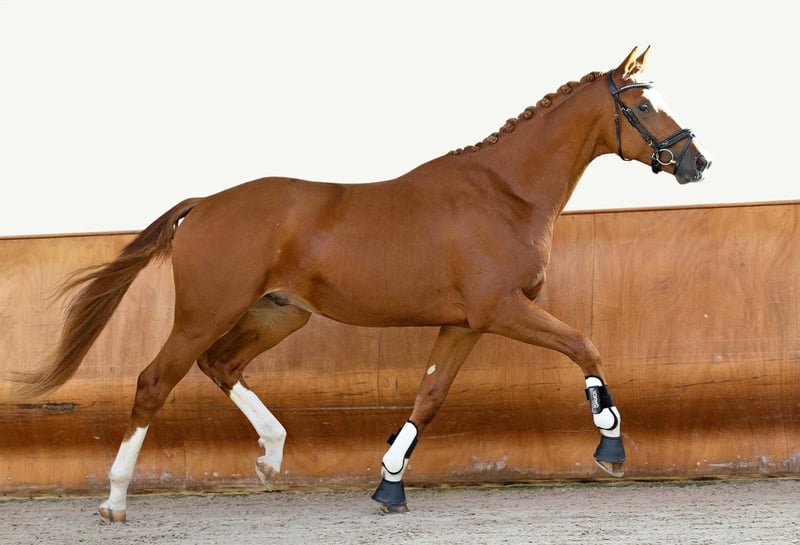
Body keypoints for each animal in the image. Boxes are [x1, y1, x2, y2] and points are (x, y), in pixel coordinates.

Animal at [10, 46, 711, 521]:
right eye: (643, 105)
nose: (695, 160)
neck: (504, 193)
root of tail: (205, 203)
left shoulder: (464, 323)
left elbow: (429, 398)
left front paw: (389, 484)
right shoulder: (500, 310)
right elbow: (585, 345)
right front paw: (610, 447)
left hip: (280, 312)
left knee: (221, 365)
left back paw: (271, 456)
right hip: (206, 312)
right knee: (156, 381)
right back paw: (115, 499)